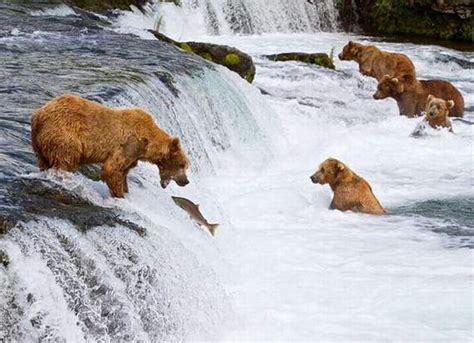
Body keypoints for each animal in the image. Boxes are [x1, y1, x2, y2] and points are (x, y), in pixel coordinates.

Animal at [30, 93, 191, 199]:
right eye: (182, 165)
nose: (186, 181)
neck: (147, 144)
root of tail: (38, 114)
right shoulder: (129, 144)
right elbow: (112, 169)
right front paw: (119, 196)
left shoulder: (133, 156)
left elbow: (123, 172)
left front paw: (125, 191)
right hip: (65, 134)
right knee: (66, 160)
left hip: (40, 143)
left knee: (44, 161)